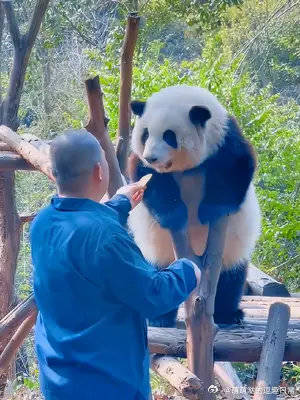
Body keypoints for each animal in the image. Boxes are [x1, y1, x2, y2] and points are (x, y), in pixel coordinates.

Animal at [126, 86, 260, 326]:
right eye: (145, 134)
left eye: (169, 136)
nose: (152, 157)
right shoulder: (142, 164)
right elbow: (147, 179)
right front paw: (174, 214)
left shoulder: (225, 142)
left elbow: (237, 167)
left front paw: (211, 210)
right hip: (157, 248)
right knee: (156, 277)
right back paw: (159, 318)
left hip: (231, 247)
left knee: (230, 277)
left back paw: (229, 314)